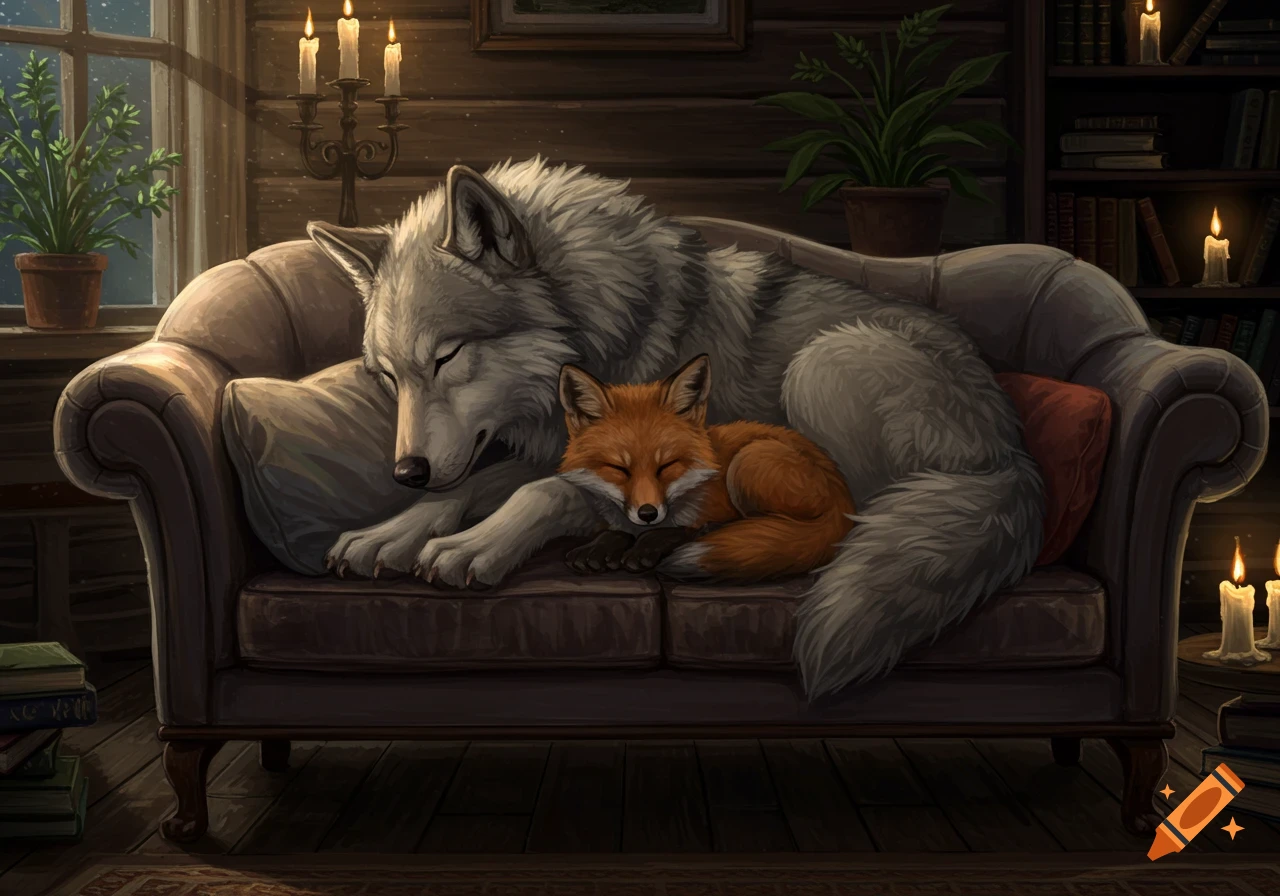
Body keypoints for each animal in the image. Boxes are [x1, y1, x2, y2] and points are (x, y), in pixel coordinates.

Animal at [557, 354, 856, 581]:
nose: (648, 514)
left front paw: (648, 545)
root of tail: (843, 501)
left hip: (748, 460)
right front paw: (600, 547)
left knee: (775, 525)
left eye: (666, 465)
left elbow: (675, 530)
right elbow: (612, 531)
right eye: (619, 468)